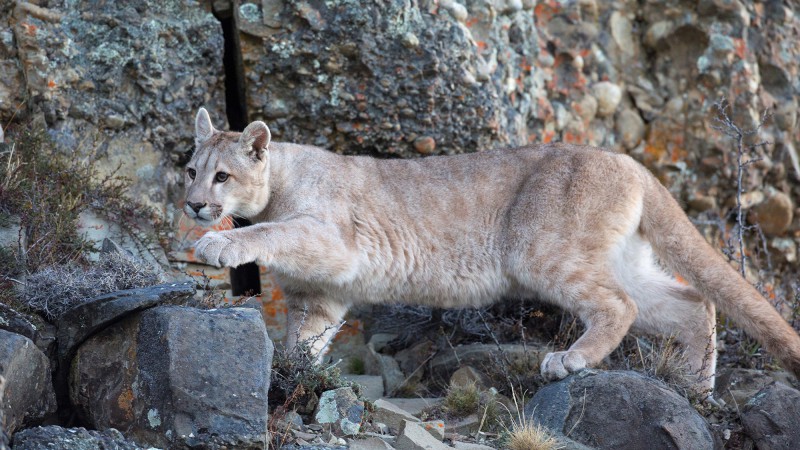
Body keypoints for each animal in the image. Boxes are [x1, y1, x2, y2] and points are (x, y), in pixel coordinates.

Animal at [183, 108, 800, 390]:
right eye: (190, 170)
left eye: (222, 176)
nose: (192, 206)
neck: (280, 182)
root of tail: (627, 160)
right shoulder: (320, 295)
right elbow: (304, 340)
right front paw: (293, 377)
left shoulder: (332, 239)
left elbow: (271, 233)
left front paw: (219, 244)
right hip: (617, 260)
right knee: (692, 304)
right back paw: (698, 386)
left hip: (543, 252)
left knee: (618, 305)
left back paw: (571, 360)